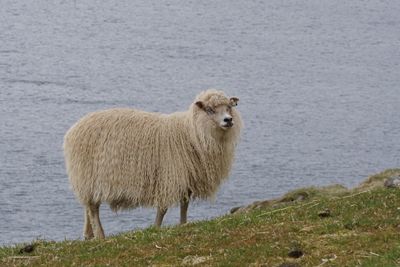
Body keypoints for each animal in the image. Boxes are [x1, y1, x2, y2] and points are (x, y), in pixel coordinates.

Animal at [64, 89, 242, 240]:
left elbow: (184, 204)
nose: (228, 120)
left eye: (229, 107)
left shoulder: (186, 178)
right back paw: (101, 236)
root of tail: (73, 130)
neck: (190, 133)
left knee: (88, 207)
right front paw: (156, 228)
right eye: (210, 110)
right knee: (93, 209)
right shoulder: (168, 177)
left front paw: (183, 224)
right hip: (89, 177)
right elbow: (162, 209)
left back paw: (89, 235)